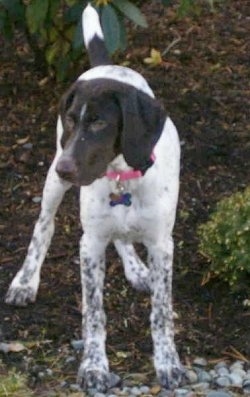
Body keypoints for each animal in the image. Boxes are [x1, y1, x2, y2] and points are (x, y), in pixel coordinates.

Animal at [5, 3, 184, 392]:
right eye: (72, 119)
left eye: (100, 123)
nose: (65, 169)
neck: (121, 176)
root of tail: (106, 65)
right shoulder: (89, 245)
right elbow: (94, 314)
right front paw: (93, 366)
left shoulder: (162, 244)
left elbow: (161, 312)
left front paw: (168, 362)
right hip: (53, 184)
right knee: (43, 227)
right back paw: (25, 281)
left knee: (122, 237)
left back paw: (137, 270)